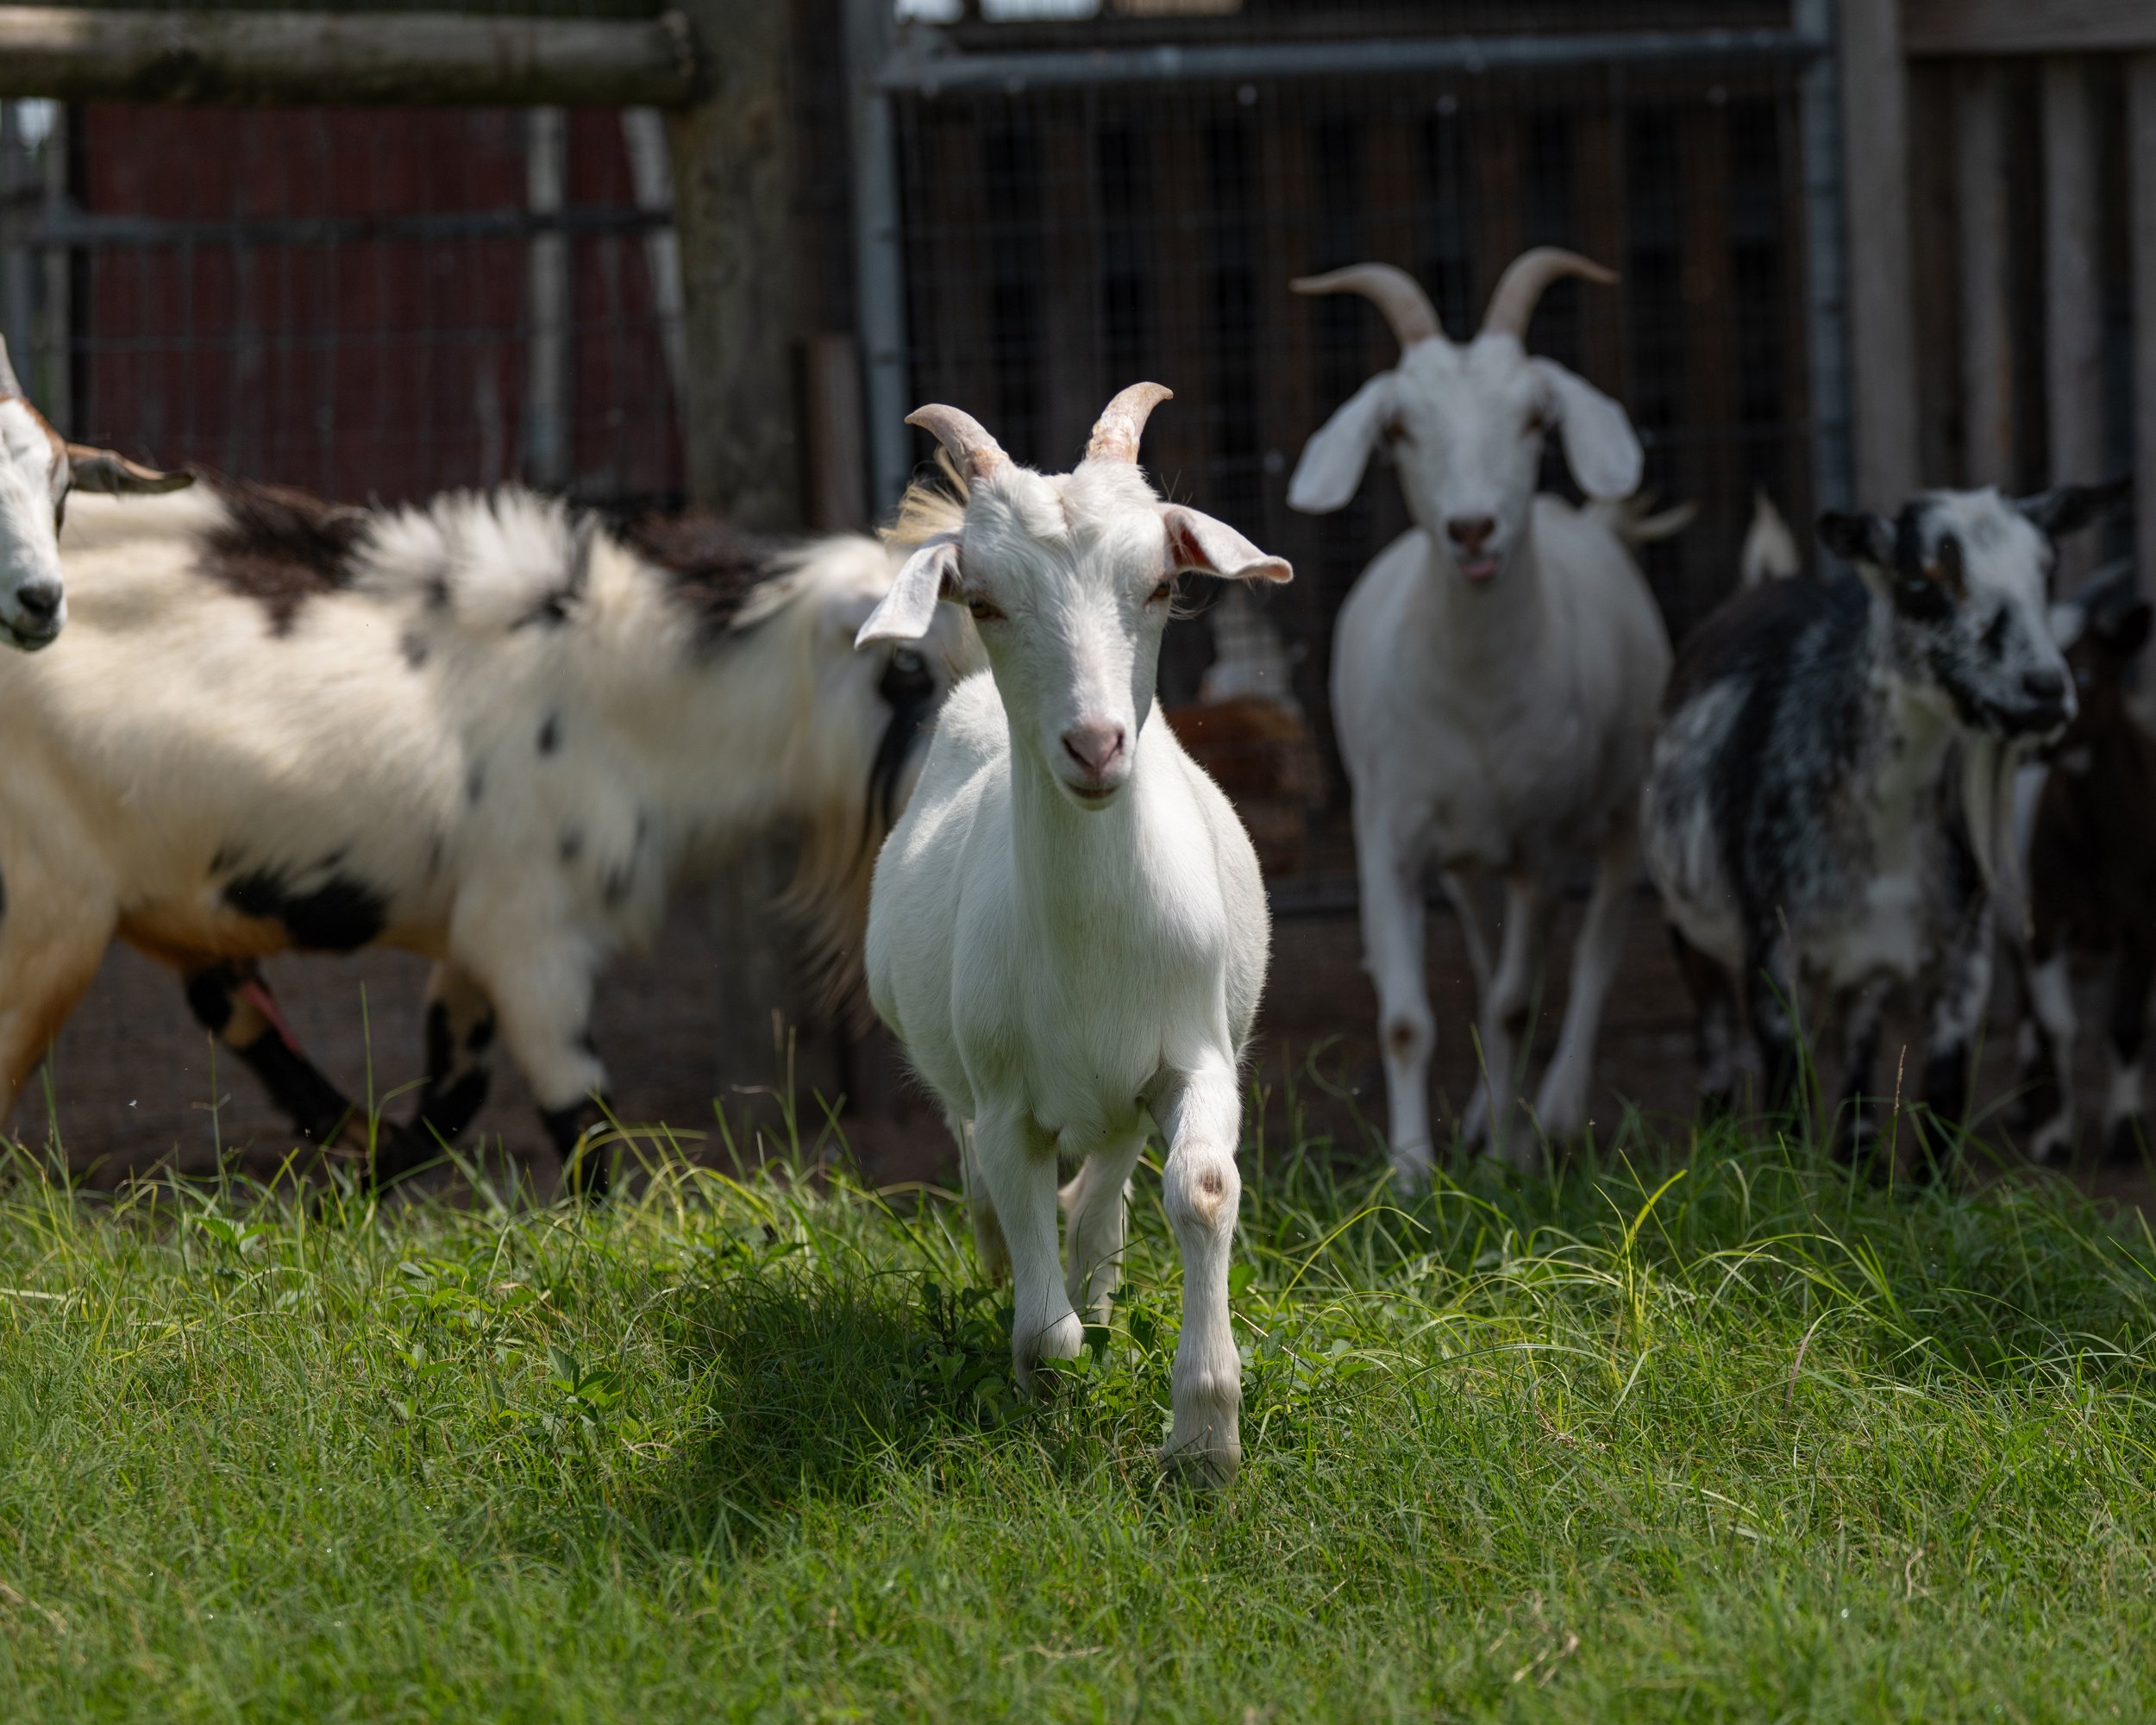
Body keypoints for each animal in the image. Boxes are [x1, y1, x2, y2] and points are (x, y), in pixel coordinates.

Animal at [0, 478, 977, 1196]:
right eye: (906, 664)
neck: (622, 692)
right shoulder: (533, 936)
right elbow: (581, 1124)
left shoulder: (472, 938)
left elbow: (450, 1102)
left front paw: (351, 1195)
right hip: (48, 920)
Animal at [858, 385, 1290, 1483]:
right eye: (984, 598)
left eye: (1160, 583)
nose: (1095, 745)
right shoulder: (1008, 1095)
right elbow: (1026, 1248)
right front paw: (1046, 1390)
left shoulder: (1192, 1051)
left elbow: (1203, 1187)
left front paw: (1204, 1436)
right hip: (953, 1064)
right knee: (980, 1167)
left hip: (1125, 1094)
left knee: (1100, 1198)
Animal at [1288, 249, 1674, 1178]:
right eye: (1398, 429)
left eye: (1535, 419)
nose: (1472, 529)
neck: (1475, 704)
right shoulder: (1386, 835)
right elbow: (1406, 1018)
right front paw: (1410, 1172)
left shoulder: (1540, 850)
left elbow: (1512, 1003)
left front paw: (1504, 1163)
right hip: (1464, 858)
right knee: (1479, 937)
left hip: (1624, 801)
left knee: (1600, 941)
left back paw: (1554, 1113)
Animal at [1643, 484, 2122, 1152]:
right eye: (1920, 581)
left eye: (2047, 570)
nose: (2046, 689)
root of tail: (1765, 580)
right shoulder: (1770, 952)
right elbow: (1789, 1108)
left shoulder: (1964, 959)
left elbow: (1941, 1107)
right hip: (1686, 926)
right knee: (1714, 1048)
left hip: (1862, 972)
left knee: (1859, 1077)